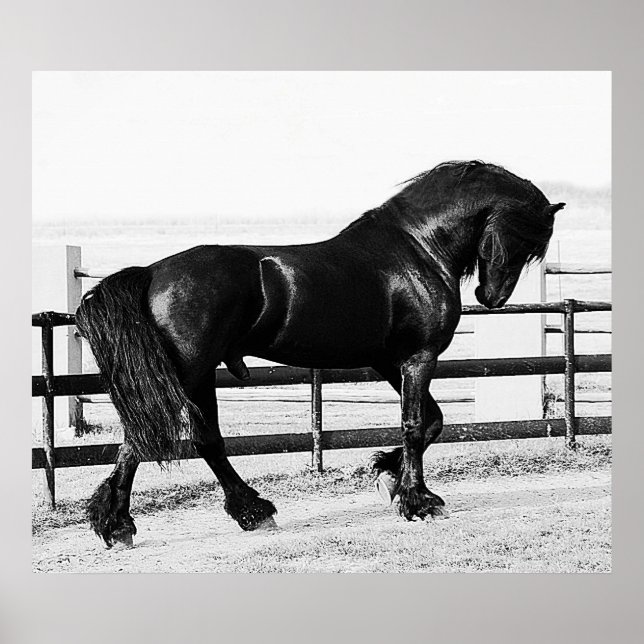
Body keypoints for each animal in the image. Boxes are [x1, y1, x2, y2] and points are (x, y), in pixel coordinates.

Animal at [75, 160, 564, 548]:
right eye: (520, 235)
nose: (492, 296)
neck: (418, 249)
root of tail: (152, 272)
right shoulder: (418, 358)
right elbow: (414, 425)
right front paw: (419, 501)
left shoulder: (391, 361)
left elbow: (431, 422)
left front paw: (388, 474)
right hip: (186, 373)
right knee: (144, 441)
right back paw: (120, 526)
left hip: (200, 376)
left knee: (203, 441)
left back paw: (249, 512)